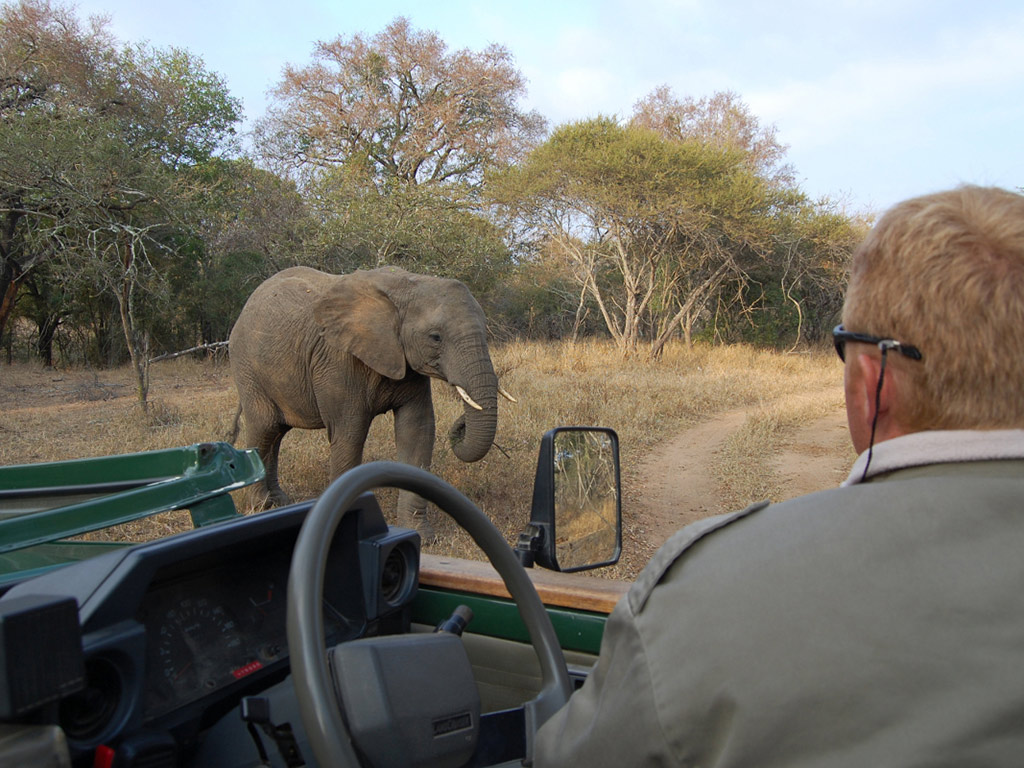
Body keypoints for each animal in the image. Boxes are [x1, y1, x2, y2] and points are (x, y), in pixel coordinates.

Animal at [228, 266, 510, 535]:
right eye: (435, 337)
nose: (461, 422)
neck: (408, 284)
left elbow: (417, 430)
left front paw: (421, 534)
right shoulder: (338, 361)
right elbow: (349, 435)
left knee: (277, 432)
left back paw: (279, 502)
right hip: (247, 365)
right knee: (264, 427)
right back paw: (260, 506)